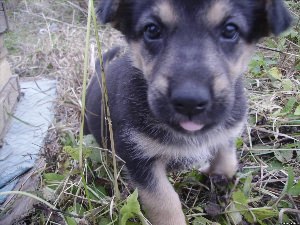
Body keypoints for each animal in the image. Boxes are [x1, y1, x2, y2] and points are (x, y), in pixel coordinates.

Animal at [84, 0, 290, 224]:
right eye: (152, 29)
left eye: (230, 30)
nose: (190, 102)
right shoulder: (139, 158)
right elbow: (165, 202)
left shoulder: (226, 133)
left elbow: (226, 161)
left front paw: (212, 173)